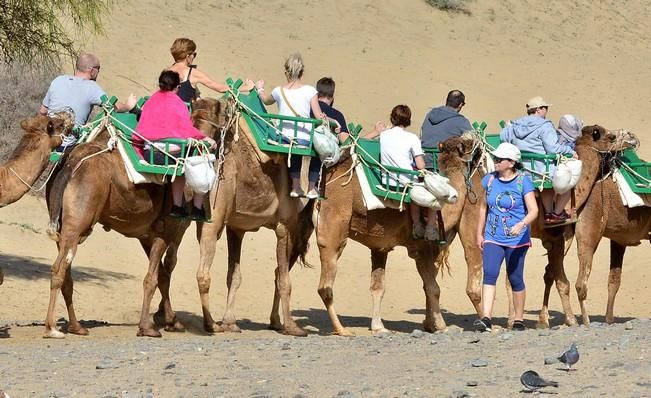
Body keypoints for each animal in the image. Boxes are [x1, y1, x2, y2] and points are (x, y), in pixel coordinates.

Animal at [314, 134, 486, 336]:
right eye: (469, 145)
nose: (480, 143)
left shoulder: (380, 247)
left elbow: (378, 287)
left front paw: (379, 327)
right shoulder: (421, 249)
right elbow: (433, 288)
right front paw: (442, 326)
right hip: (333, 233)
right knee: (325, 287)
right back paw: (342, 329)